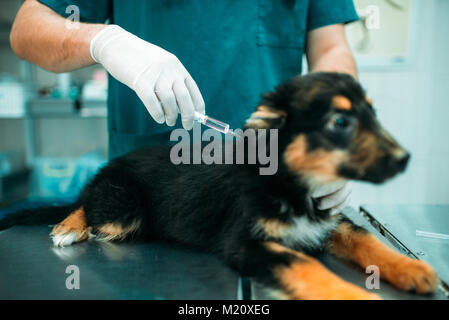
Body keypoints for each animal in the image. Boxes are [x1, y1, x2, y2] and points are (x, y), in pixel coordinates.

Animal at [0, 72, 434, 300]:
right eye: (340, 122)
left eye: (373, 115)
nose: (405, 159)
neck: (293, 185)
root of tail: (114, 165)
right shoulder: (244, 242)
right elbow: (302, 262)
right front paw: (354, 296)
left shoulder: (331, 220)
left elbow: (370, 242)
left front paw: (413, 269)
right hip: (123, 208)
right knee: (86, 203)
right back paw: (67, 226)